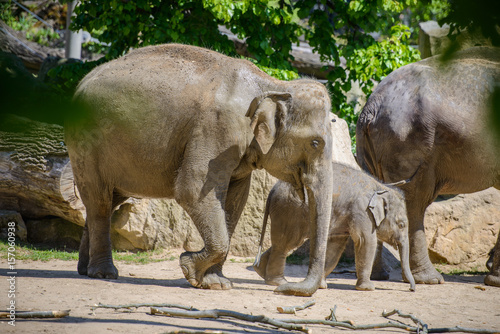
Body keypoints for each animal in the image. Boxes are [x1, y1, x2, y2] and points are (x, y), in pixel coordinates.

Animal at [64, 43, 334, 296]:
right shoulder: (216, 129)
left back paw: (85, 270)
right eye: (315, 143)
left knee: (107, 202)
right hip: (85, 144)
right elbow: (192, 190)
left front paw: (217, 283)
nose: (282, 288)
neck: (271, 84)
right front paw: (189, 268)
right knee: (99, 201)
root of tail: (81, 82)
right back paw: (104, 274)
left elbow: (235, 201)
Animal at [254, 163, 414, 290]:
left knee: (283, 243)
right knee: (286, 243)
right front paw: (368, 288)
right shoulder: (361, 210)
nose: (411, 289)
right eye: (401, 225)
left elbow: (335, 247)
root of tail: (273, 189)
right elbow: (366, 241)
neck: (380, 186)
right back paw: (278, 282)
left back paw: (261, 272)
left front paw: (321, 286)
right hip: (289, 210)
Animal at [356, 47, 500, 288]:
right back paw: (430, 279)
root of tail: (371, 106)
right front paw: (495, 279)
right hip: (409, 142)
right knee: (415, 201)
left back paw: (377, 276)